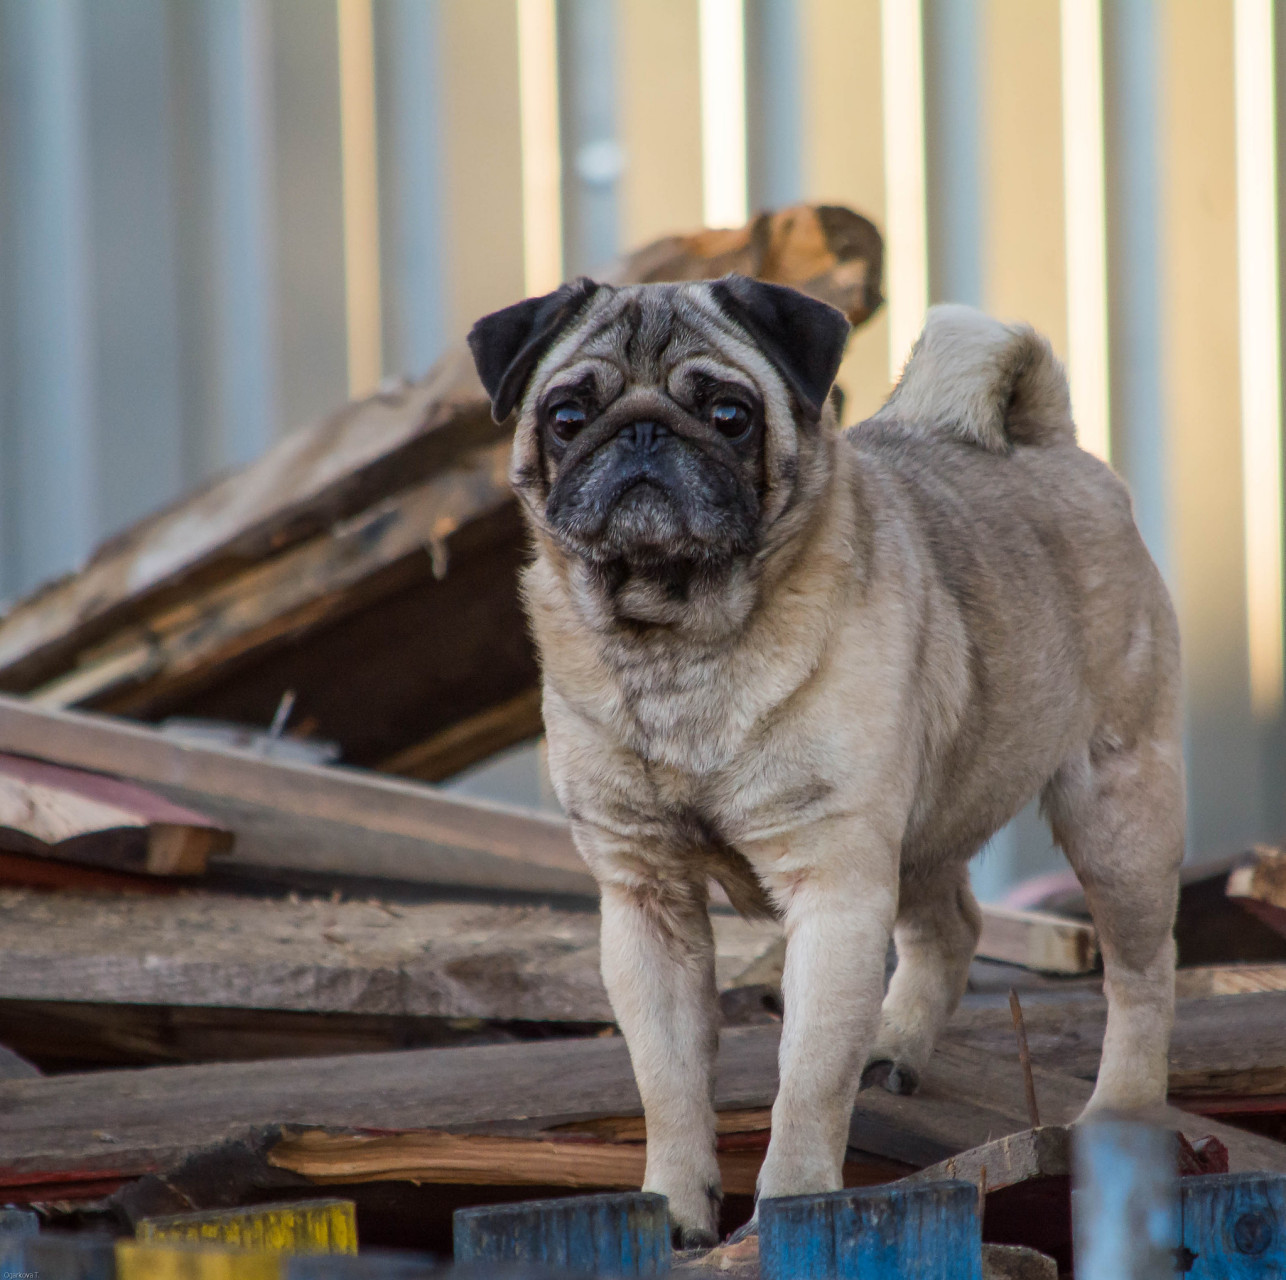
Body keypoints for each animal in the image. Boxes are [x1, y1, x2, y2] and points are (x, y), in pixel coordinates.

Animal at [465, 275, 1183, 1245]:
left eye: (729, 416)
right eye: (569, 416)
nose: (643, 433)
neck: (680, 640)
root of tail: (1051, 441)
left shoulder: (836, 887)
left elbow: (807, 1076)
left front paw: (795, 1201)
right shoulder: (647, 903)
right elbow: (668, 1081)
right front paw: (676, 1206)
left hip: (1117, 812)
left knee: (1141, 975)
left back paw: (1121, 1113)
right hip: (922, 826)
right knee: (952, 925)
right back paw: (893, 1045)